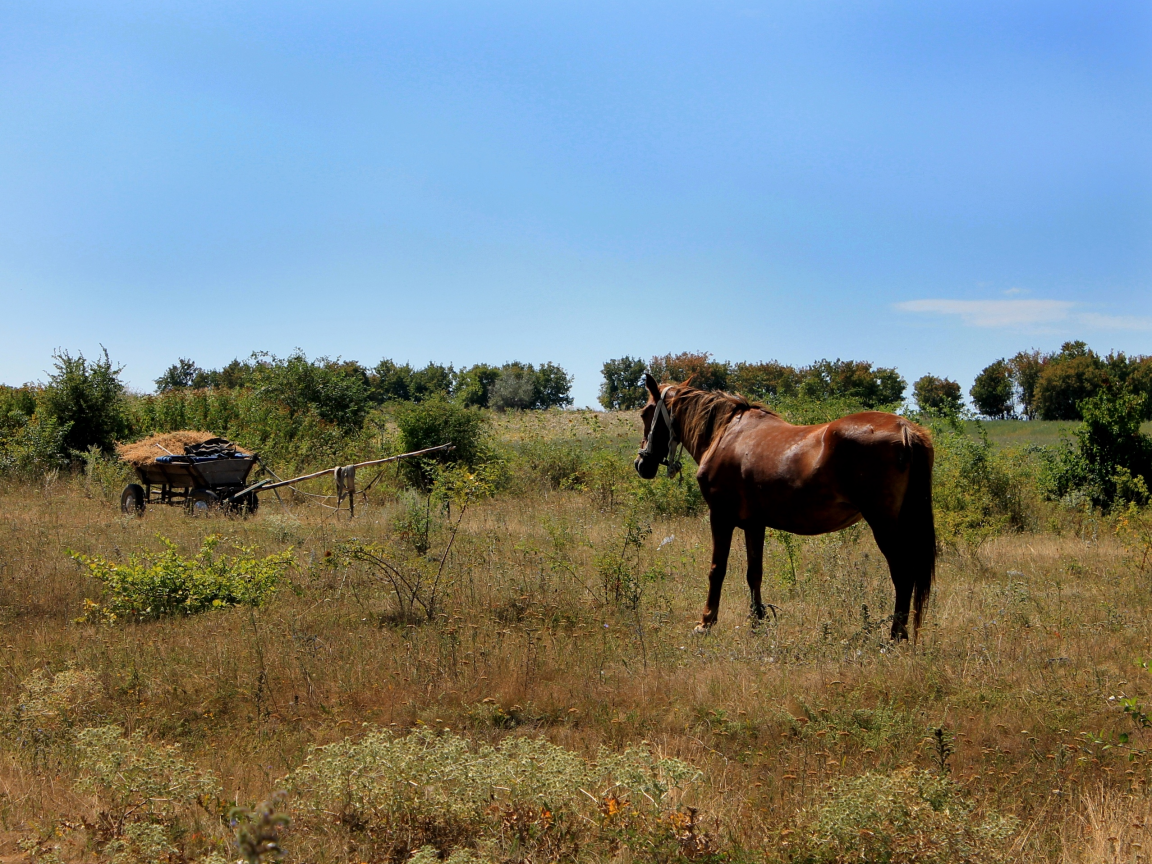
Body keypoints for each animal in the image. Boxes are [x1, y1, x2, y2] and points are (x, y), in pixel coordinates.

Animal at [635, 373, 940, 645]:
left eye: (645, 412)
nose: (642, 464)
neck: (725, 435)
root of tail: (905, 429)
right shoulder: (754, 524)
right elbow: (754, 573)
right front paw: (757, 622)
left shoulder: (720, 518)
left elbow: (716, 569)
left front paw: (705, 622)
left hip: (884, 525)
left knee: (903, 574)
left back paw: (895, 637)